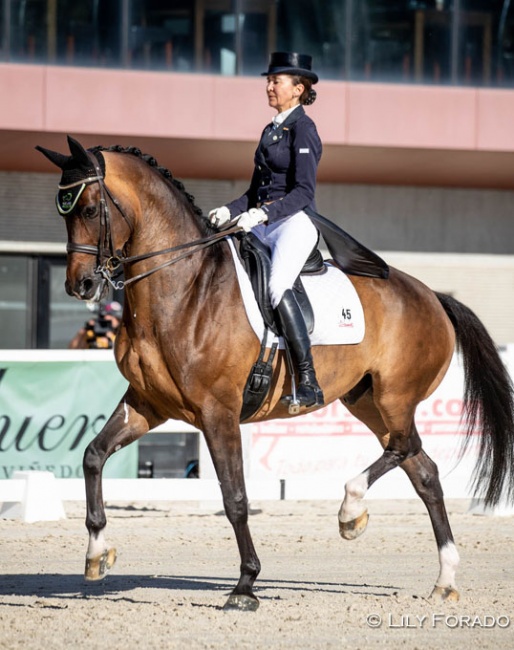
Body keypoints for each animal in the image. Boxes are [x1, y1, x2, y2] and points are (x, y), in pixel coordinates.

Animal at [37, 135, 512, 608]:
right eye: (63, 212)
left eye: (90, 210)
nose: (80, 286)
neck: (184, 288)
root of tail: (433, 295)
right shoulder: (146, 404)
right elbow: (93, 455)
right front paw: (97, 554)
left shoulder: (218, 412)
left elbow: (235, 498)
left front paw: (246, 585)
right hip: (367, 401)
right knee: (424, 471)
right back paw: (443, 577)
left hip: (395, 396)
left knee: (404, 445)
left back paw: (350, 509)